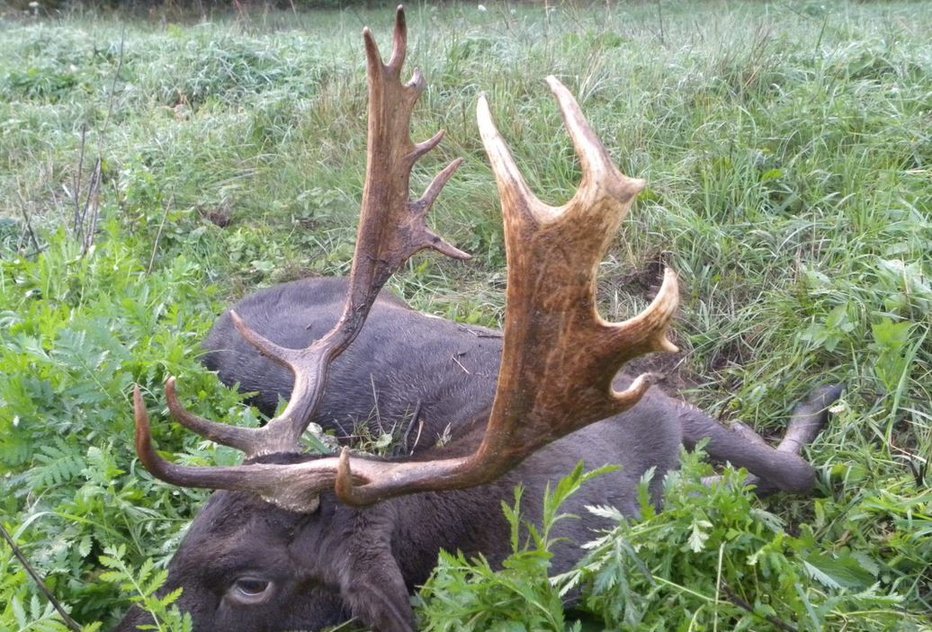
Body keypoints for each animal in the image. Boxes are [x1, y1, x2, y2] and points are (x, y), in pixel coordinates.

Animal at [120, 7, 840, 628]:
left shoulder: (655, 402)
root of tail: (222, 319)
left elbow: (801, 473)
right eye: (190, 534)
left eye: (249, 583)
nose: (130, 622)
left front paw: (815, 401)